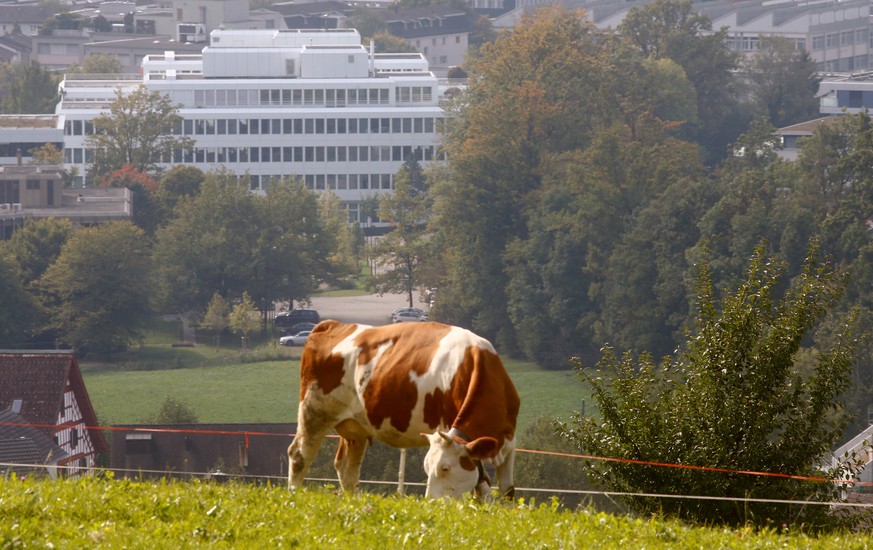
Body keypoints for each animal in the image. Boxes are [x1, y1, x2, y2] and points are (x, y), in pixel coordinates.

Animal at [288, 320, 516, 500]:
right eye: (427, 468)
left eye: (445, 468)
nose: (432, 504)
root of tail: (332, 325)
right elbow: (482, 487)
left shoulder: (508, 444)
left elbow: (507, 490)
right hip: (314, 412)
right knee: (299, 455)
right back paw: (294, 496)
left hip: (355, 429)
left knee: (346, 468)